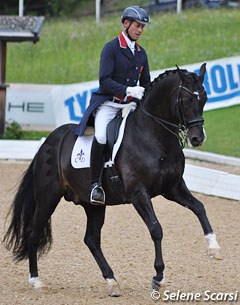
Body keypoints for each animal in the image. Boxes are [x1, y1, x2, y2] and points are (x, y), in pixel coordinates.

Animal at [3, 63, 221, 294]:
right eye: (187, 101)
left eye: (204, 99)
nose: (197, 138)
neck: (154, 136)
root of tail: (48, 141)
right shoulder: (138, 194)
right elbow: (156, 229)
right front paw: (158, 276)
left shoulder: (173, 188)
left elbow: (199, 207)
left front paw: (214, 247)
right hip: (48, 198)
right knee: (33, 232)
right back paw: (35, 280)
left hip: (93, 204)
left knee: (91, 239)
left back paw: (111, 280)